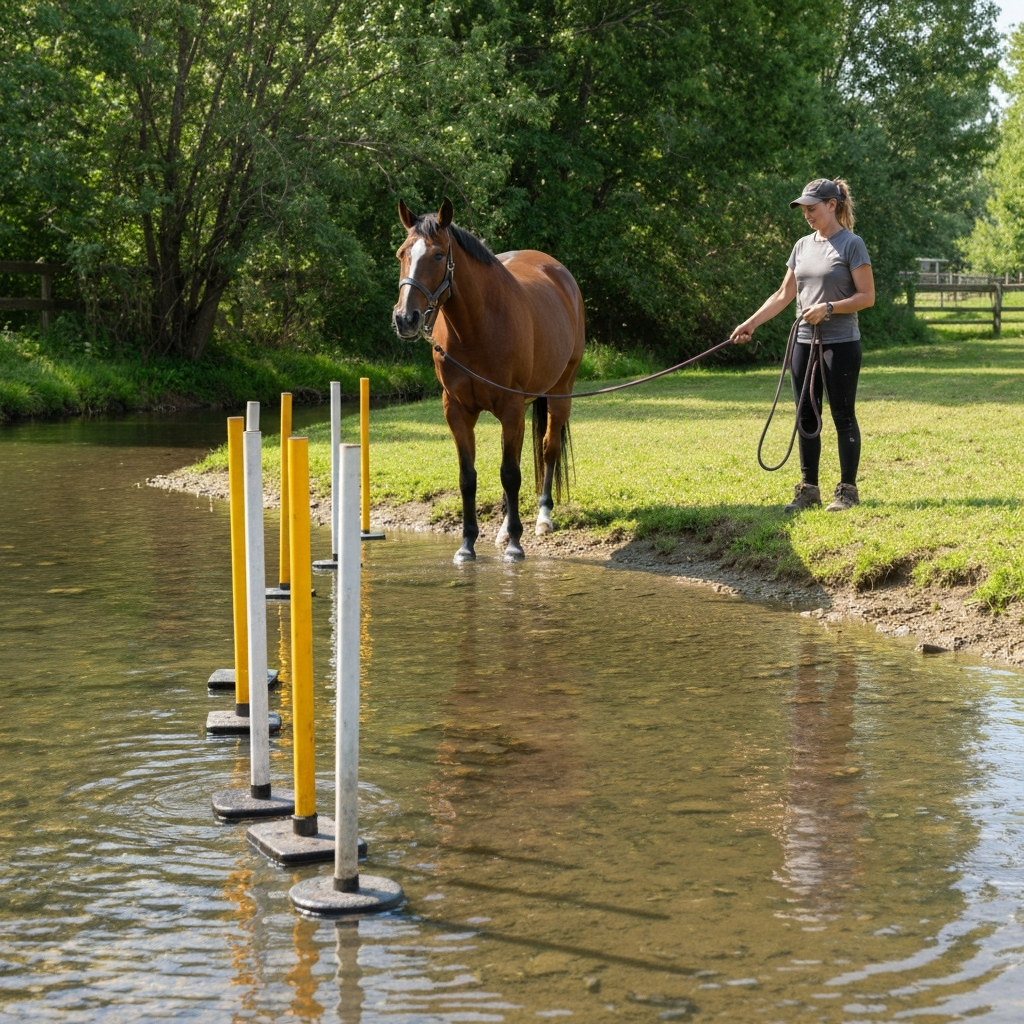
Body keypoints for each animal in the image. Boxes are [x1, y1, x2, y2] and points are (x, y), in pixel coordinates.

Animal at [392, 198, 586, 564]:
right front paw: (467, 545)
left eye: (438, 255)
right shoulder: (457, 411)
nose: (405, 318)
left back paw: (542, 518)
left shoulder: (511, 408)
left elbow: (510, 474)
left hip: (559, 395)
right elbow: (468, 477)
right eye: (402, 253)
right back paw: (504, 528)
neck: (476, 329)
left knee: (548, 450)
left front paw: (515, 546)